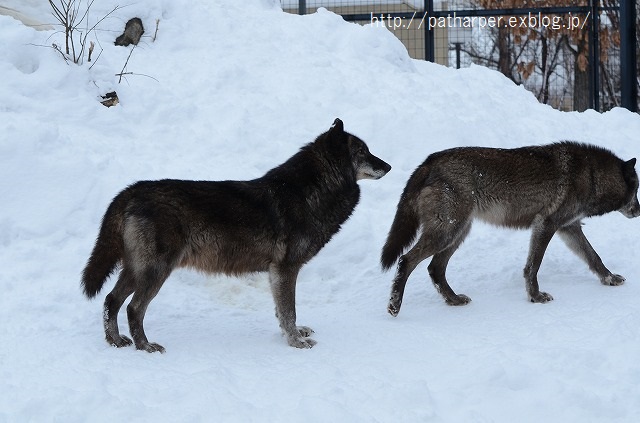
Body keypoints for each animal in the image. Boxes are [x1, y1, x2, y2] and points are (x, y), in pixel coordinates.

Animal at [80, 118, 390, 352]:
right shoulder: (286, 269)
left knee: (111, 300)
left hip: (136, 269)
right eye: (362, 152)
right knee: (133, 308)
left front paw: (293, 335)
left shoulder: (276, 273)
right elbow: (289, 311)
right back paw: (145, 346)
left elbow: (282, 312)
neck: (310, 191)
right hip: (156, 271)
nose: (387, 166)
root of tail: (132, 191)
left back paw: (115, 341)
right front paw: (295, 343)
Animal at [382, 141, 636, 316]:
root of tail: (429, 161)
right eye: (637, 190)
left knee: (435, 268)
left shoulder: (569, 228)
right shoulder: (545, 225)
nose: (639, 210)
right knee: (406, 260)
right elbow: (533, 266)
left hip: (459, 233)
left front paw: (610, 278)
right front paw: (535, 296)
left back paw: (453, 300)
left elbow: (594, 257)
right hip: (447, 233)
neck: (591, 175)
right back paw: (395, 305)